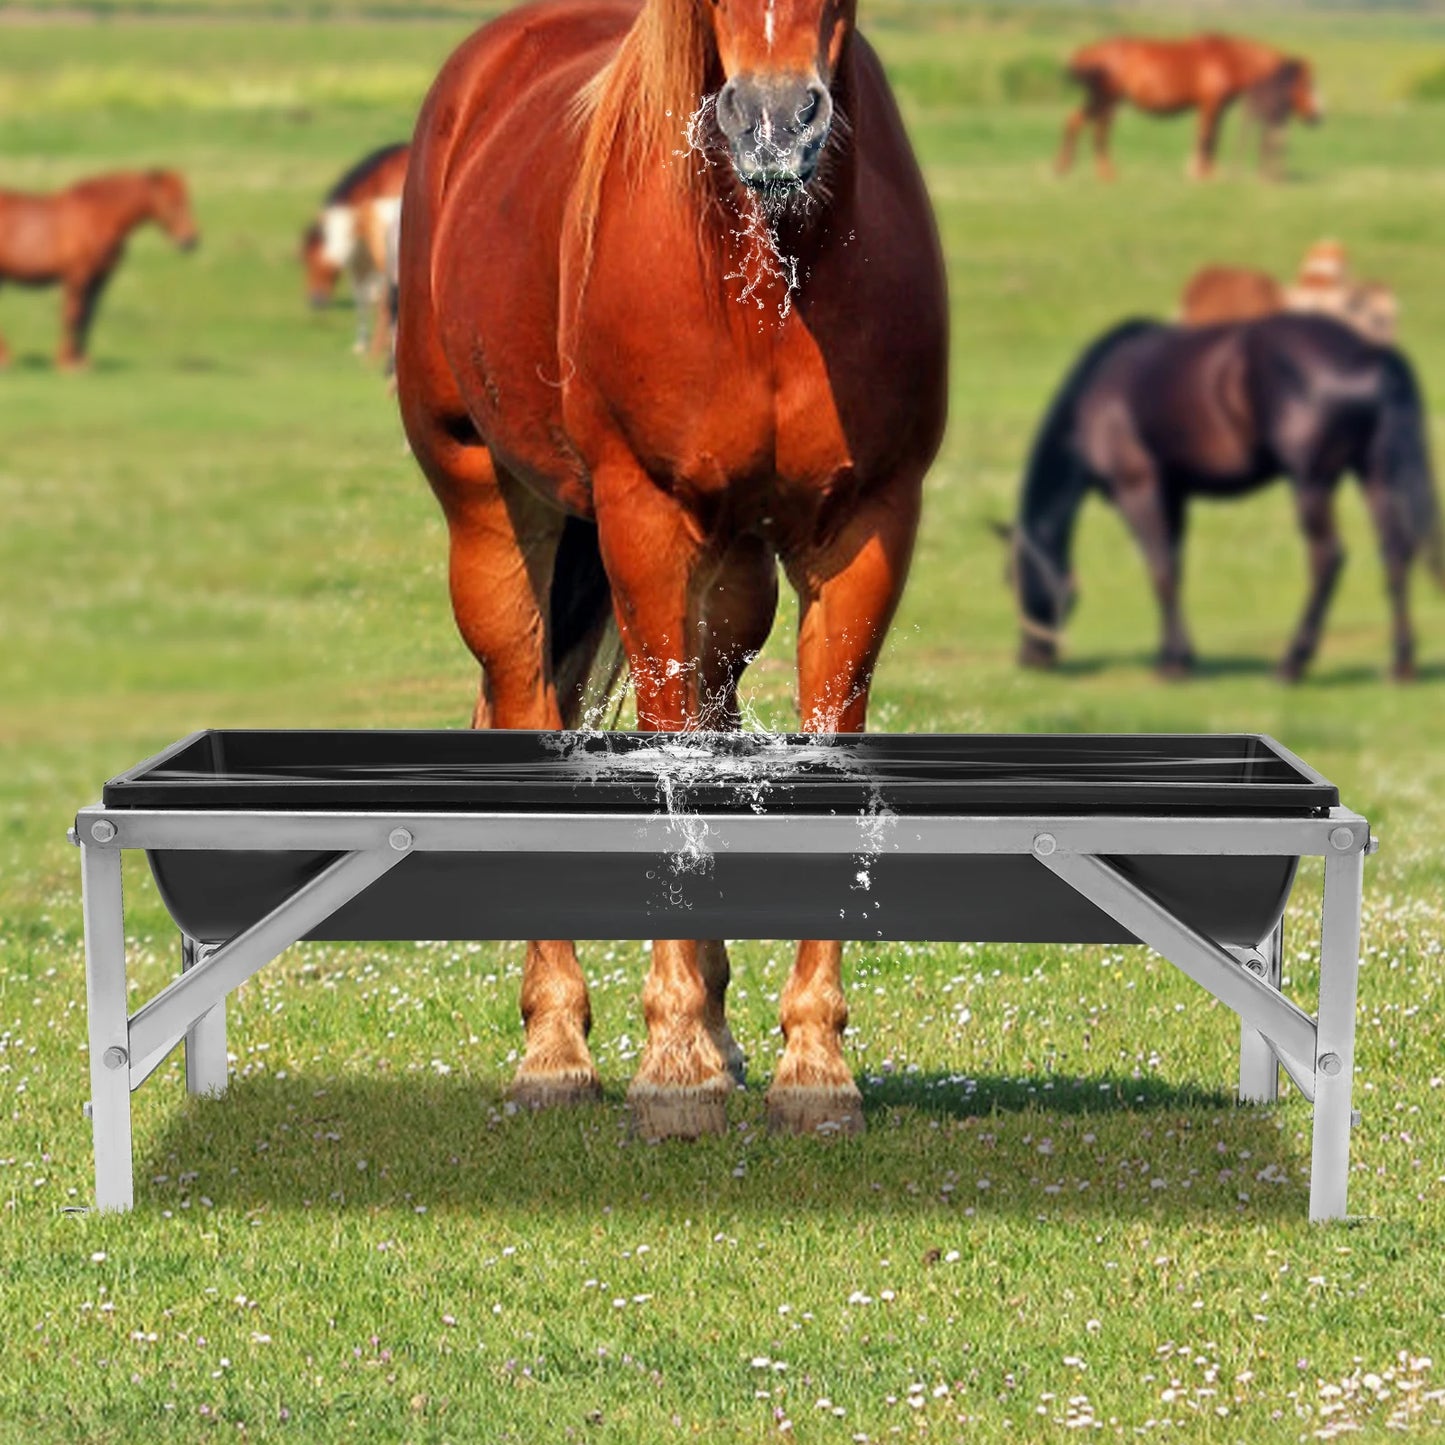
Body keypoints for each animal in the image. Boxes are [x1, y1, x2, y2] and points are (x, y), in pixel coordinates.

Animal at [0, 169, 198, 370]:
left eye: (185, 199)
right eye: (172, 201)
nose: (190, 241)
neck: (96, 217)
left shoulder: (100, 279)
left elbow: (88, 317)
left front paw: (81, 359)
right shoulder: (77, 277)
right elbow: (73, 316)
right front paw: (66, 362)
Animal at [300, 142, 409, 359]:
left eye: (318, 258)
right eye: (304, 260)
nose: (315, 301)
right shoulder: (360, 259)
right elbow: (362, 298)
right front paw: (361, 344)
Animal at [396, 0, 948, 1140]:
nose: (775, 123)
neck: (766, 278)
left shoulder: (864, 532)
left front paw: (809, 1065)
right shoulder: (644, 524)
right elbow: (664, 760)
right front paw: (671, 1067)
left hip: (730, 571)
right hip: (486, 505)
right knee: (526, 698)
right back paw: (556, 1048)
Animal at [1007, 314, 1443, 682]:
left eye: (1011, 577)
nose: (1030, 657)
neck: (1099, 393)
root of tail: (1369, 353)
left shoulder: (1138, 489)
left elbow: (1160, 570)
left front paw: (1172, 664)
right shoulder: (1174, 494)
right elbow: (1175, 568)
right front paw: (1180, 655)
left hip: (1311, 483)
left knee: (1327, 558)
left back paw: (1292, 662)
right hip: (1375, 474)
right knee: (1395, 553)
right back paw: (1401, 664)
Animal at [1056, 34, 1321, 181]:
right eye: (1307, 84)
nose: (1317, 117)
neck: (1227, 59)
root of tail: (1089, 53)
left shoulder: (1215, 109)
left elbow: (1209, 138)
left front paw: (1200, 171)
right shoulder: (1210, 105)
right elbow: (1208, 138)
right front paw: (1204, 174)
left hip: (1102, 101)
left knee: (1077, 121)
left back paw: (1066, 169)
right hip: (1106, 100)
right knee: (1097, 130)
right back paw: (1102, 173)